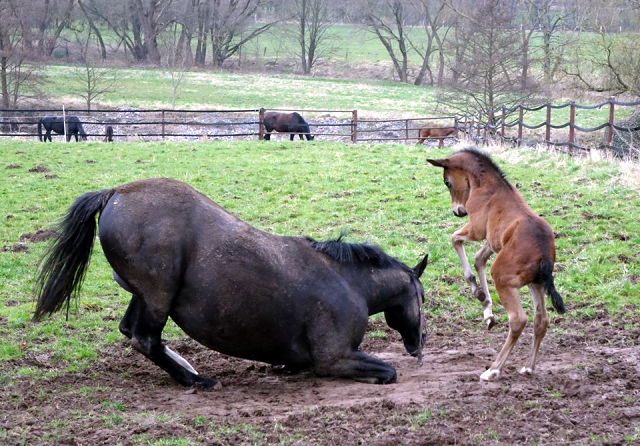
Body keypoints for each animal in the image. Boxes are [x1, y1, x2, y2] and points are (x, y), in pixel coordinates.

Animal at [32, 177, 428, 386]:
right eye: (422, 298)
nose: (419, 345)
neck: (350, 283)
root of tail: (116, 192)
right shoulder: (335, 358)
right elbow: (388, 371)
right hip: (158, 295)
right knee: (144, 339)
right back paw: (196, 380)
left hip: (144, 295)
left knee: (132, 331)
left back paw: (189, 369)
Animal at [424, 149, 564, 380]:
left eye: (447, 182)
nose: (458, 211)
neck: (488, 186)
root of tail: (544, 251)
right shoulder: (492, 241)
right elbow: (478, 259)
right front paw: (487, 311)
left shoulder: (476, 230)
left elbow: (455, 239)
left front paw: (480, 295)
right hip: (536, 283)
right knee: (541, 320)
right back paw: (528, 367)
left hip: (503, 279)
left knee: (518, 320)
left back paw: (493, 370)